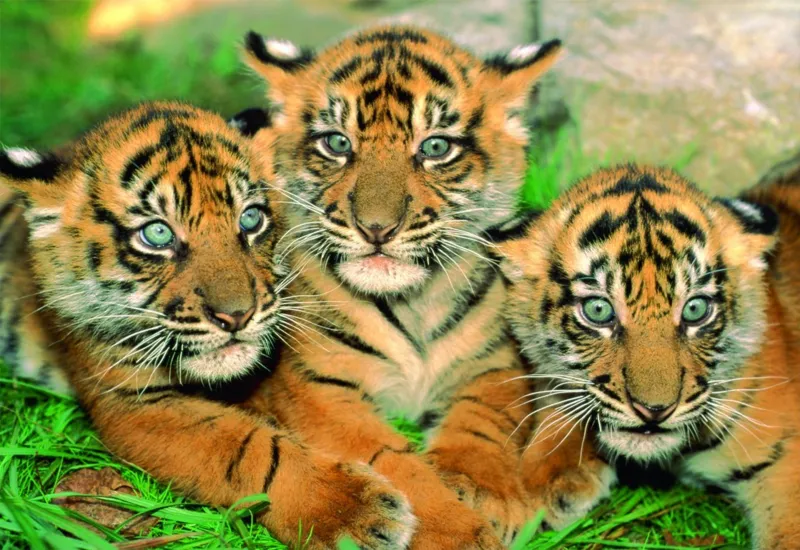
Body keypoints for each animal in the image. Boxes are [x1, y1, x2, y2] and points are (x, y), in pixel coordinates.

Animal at [0, 101, 418, 549]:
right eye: (157, 233)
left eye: (250, 219)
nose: (236, 315)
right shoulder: (131, 403)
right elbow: (248, 449)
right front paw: (354, 511)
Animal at [239, 24, 562, 548]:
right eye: (336, 143)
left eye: (435, 148)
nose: (376, 228)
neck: (413, 303)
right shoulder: (317, 388)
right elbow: (392, 461)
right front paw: (458, 532)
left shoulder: (494, 365)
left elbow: (483, 424)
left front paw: (484, 489)